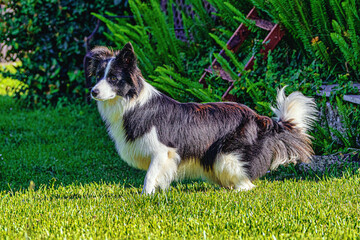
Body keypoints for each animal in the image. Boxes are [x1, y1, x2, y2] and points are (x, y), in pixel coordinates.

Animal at [88, 42, 316, 194]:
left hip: (227, 155)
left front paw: (146, 196)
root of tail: (261, 119)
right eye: (98, 76)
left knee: (247, 183)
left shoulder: (163, 151)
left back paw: (237, 190)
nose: (93, 91)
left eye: (113, 78)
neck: (132, 102)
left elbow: (150, 175)